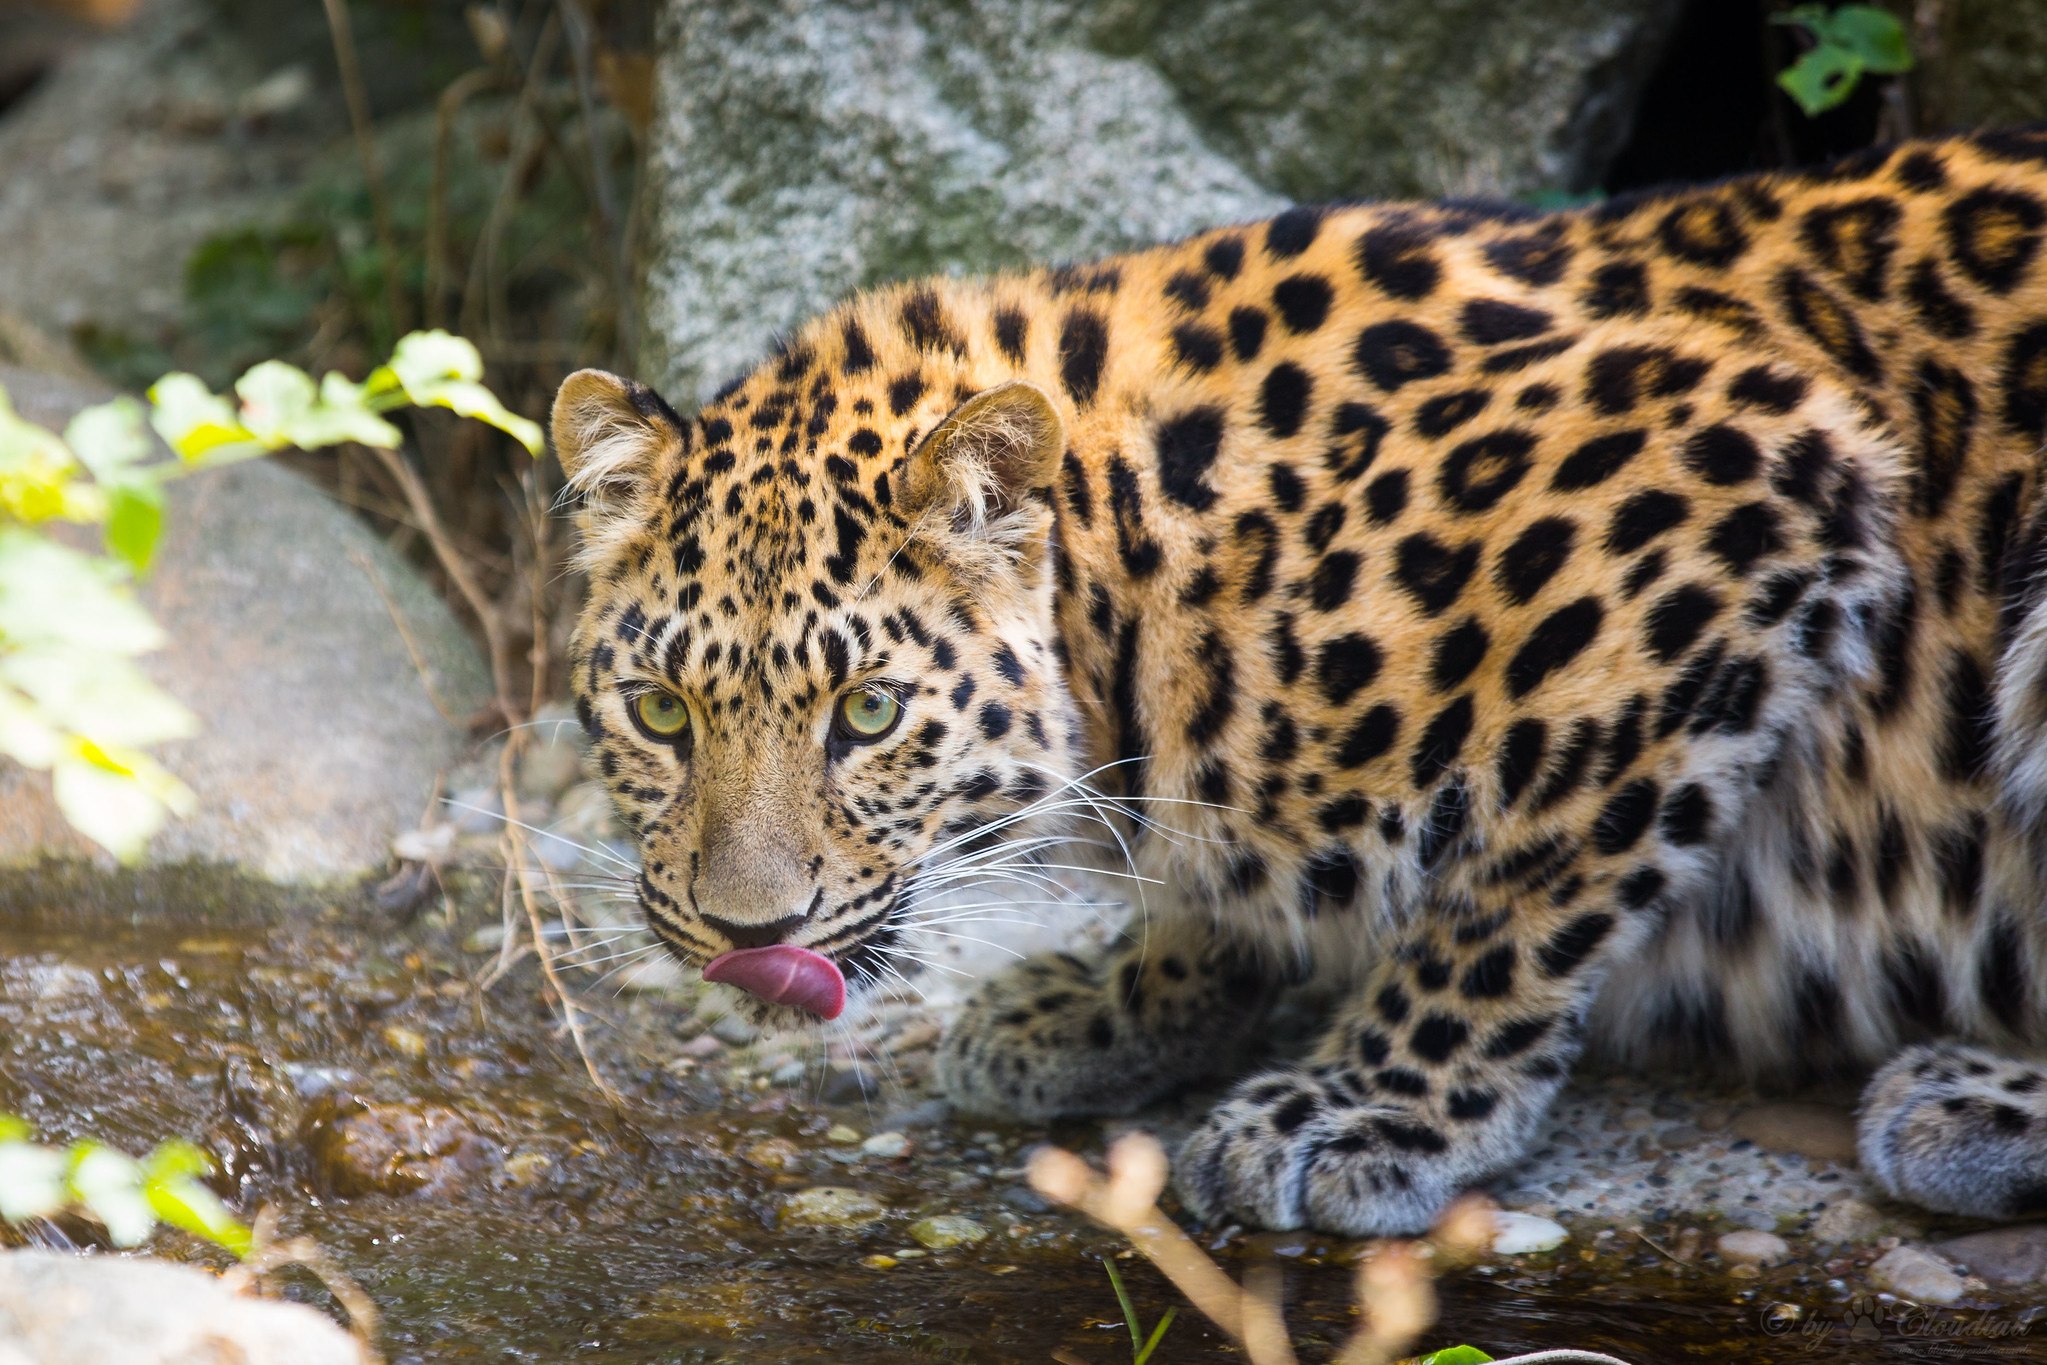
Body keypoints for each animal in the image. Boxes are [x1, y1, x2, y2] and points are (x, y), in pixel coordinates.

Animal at [560, 130, 2047, 1236]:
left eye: (864, 713)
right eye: (660, 712)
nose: (747, 935)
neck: (1149, 587)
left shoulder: (1733, 485)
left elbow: (1518, 880)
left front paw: (1368, 1103)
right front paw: (1113, 1001)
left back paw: (1970, 1101)